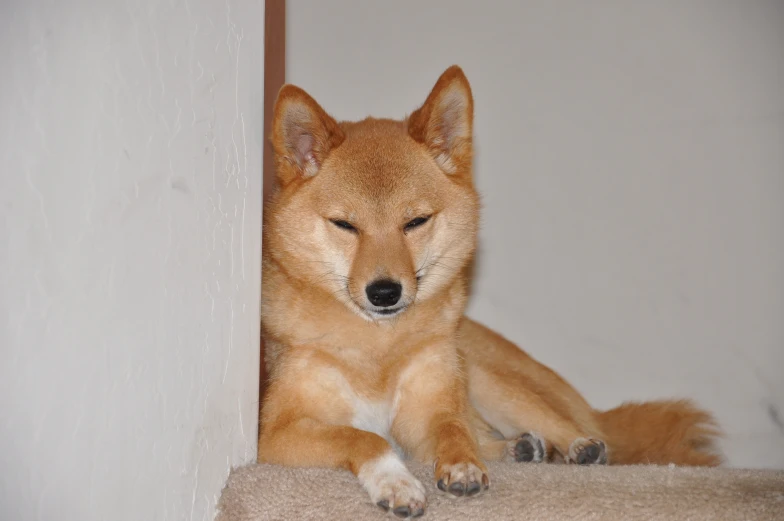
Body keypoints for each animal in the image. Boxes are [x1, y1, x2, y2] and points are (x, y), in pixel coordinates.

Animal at [258, 65, 724, 516]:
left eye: (416, 222)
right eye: (345, 225)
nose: (385, 292)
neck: (377, 349)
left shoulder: (431, 408)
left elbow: (453, 429)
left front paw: (462, 463)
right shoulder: (276, 433)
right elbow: (365, 438)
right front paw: (397, 482)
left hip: (487, 378)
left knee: (562, 425)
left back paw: (574, 446)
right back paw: (522, 448)